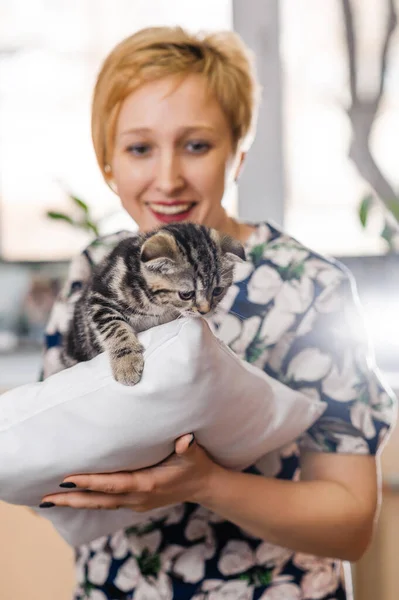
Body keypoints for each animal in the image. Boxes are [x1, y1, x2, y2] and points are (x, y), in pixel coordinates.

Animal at [61, 223, 245, 386]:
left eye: (217, 291)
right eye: (186, 294)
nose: (205, 311)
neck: (156, 303)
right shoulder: (99, 298)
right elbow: (114, 328)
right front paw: (126, 363)